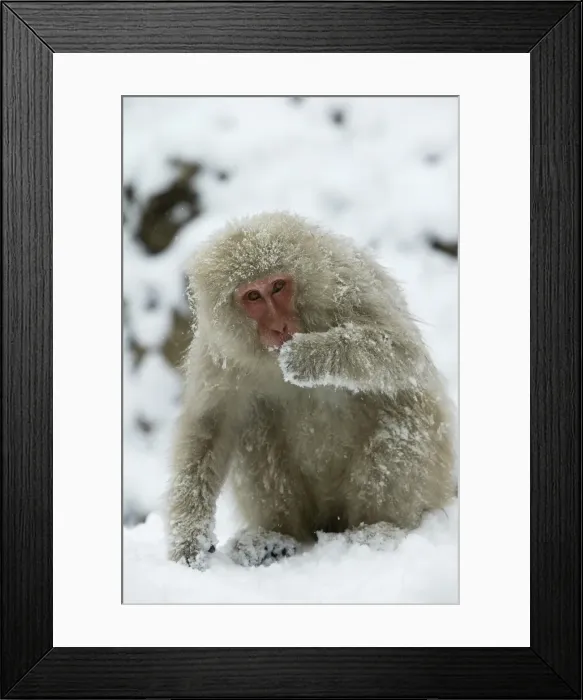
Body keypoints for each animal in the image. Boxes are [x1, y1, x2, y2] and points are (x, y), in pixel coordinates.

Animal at [167, 211, 456, 570]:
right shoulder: (218, 350)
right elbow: (210, 427)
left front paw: (310, 356)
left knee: (402, 407)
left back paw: (379, 527)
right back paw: (276, 536)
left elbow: (405, 354)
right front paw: (188, 539)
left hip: (431, 480)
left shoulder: (349, 284)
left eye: (278, 286)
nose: (279, 327)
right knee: (253, 423)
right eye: (253, 297)